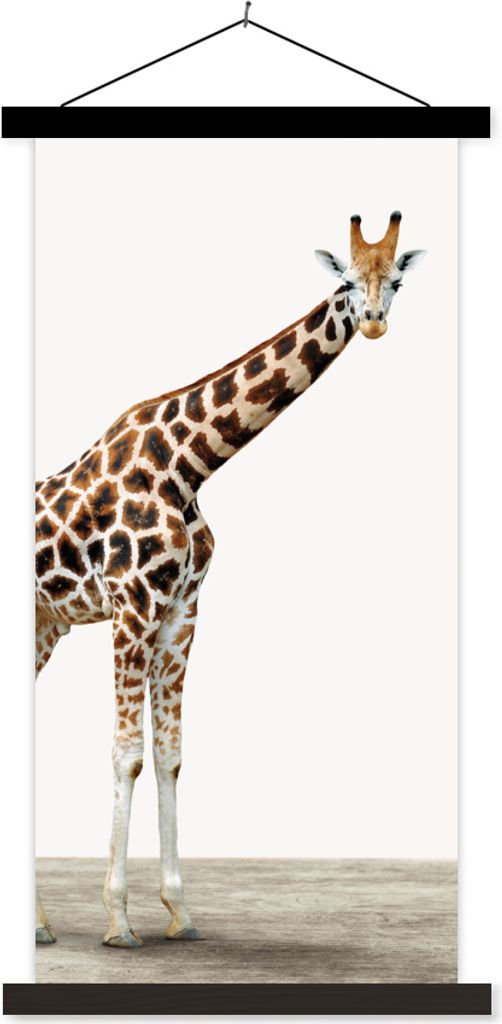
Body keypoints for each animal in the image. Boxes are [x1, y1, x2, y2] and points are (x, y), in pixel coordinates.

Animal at [35, 212, 425, 948]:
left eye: (395, 280)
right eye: (344, 280)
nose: (373, 323)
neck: (186, 464)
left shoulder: (181, 611)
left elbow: (169, 754)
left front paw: (179, 913)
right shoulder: (133, 607)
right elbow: (127, 754)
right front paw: (118, 921)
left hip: (44, 623)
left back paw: (39, 924)